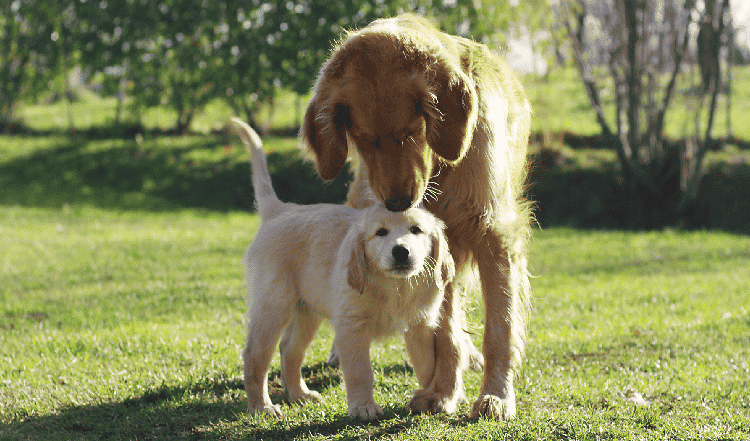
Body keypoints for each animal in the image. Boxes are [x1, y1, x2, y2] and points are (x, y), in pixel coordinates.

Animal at [229, 118, 456, 422]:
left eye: (416, 230)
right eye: (380, 233)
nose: (401, 252)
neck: (395, 286)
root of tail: (280, 211)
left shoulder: (420, 326)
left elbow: (428, 366)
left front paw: (433, 398)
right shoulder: (352, 326)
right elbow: (361, 372)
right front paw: (363, 407)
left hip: (307, 309)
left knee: (289, 349)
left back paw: (299, 394)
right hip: (273, 305)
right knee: (255, 354)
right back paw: (261, 407)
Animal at [300, 14, 536, 420]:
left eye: (410, 131)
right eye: (365, 139)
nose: (397, 202)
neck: (444, 170)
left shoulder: (493, 236)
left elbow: (499, 327)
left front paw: (496, 396)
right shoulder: (434, 251)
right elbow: (445, 332)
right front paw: (442, 392)